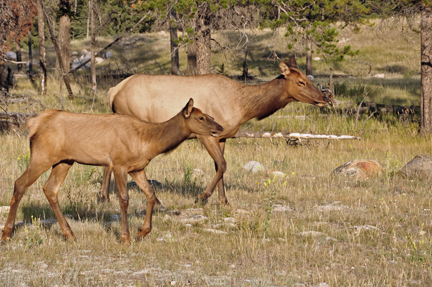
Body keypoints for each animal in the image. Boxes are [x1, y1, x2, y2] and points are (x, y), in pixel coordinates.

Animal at [0, 99, 223, 245]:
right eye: (201, 117)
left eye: (210, 115)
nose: (220, 128)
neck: (149, 142)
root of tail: (33, 124)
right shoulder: (119, 164)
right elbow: (123, 199)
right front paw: (126, 237)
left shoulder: (137, 168)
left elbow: (151, 194)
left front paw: (142, 232)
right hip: (42, 156)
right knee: (20, 183)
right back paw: (7, 234)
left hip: (64, 161)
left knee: (50, 189)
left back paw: (69, 234)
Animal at [104, 60, 334, 206]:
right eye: (301, 81)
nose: (325, 98)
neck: (243, 107)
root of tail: (113, 91)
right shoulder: (206, 134)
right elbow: (222, 165)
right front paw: (202, 196)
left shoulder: (223, 136)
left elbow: (219, 166)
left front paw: (223, 200)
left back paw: (104, 197)